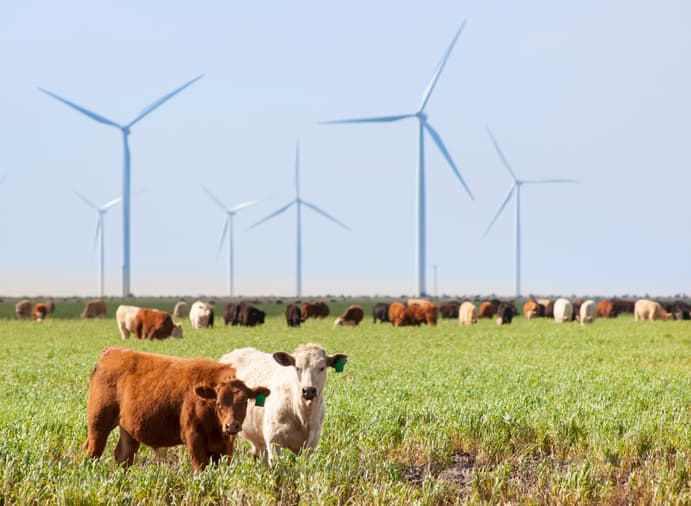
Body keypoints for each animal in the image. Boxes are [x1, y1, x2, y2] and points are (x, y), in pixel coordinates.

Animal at [83, 346, 270, 471]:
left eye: (245, 402)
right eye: (218, 403)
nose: (232, 425)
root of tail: (112, 351)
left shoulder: (224, 448)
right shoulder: (193, 439)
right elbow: (200, 470)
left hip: (129, 429)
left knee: (123, 456)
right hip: (98, 424)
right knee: (92, 452)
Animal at [218, 344, 347, 465]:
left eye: (322, 368)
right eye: (297, 368)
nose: (308, 390)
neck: (302, 414)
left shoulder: (312, 440)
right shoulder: (273, 437)